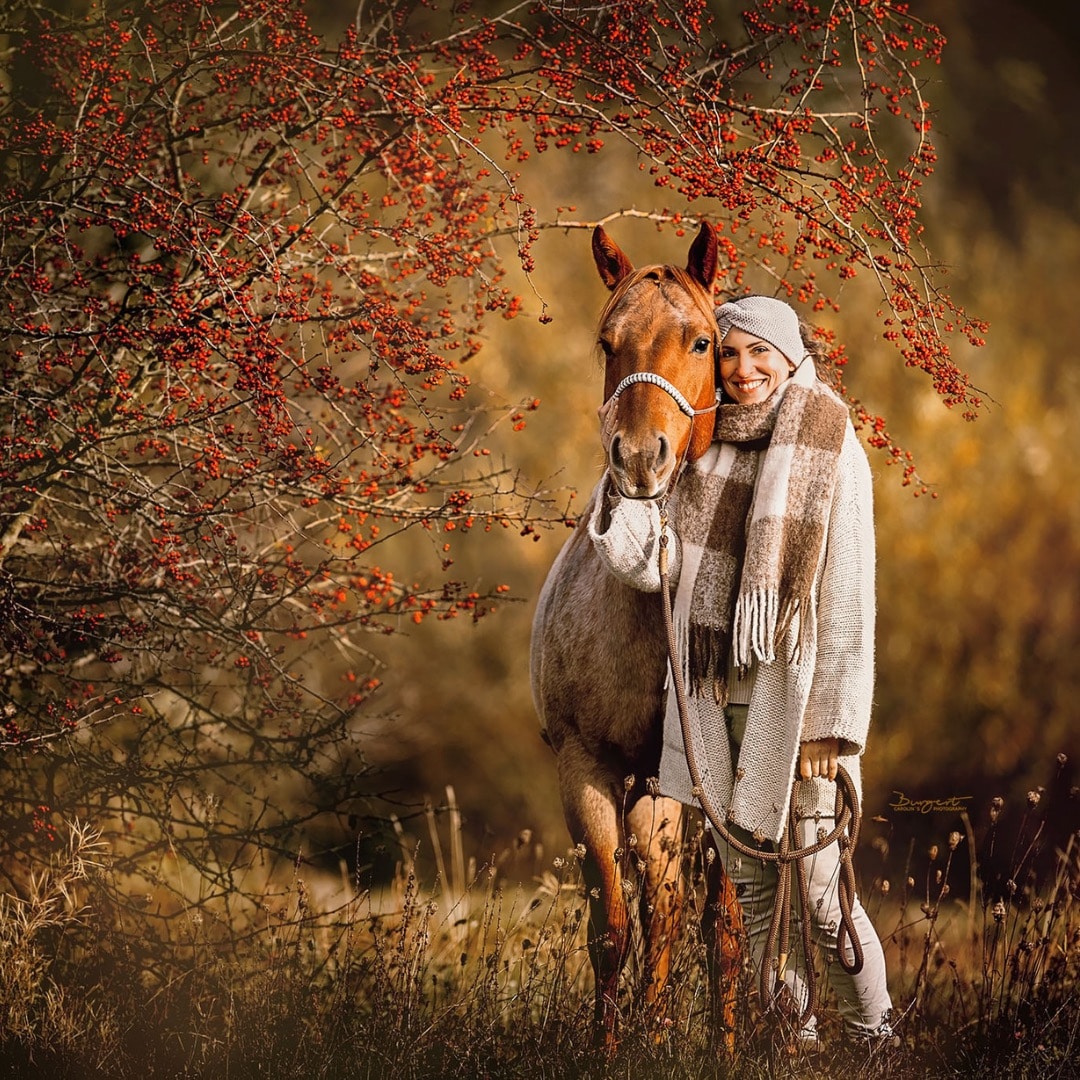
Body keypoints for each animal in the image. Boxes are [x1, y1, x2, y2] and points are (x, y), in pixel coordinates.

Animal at [529, 221, 743, 1045]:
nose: (640, 457)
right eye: (607, 342)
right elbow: (614, 927)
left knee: (710, 922)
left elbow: (704, 924)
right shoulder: (585, 770)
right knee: (664, 906)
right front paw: (611, 1044)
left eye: (702, 342)